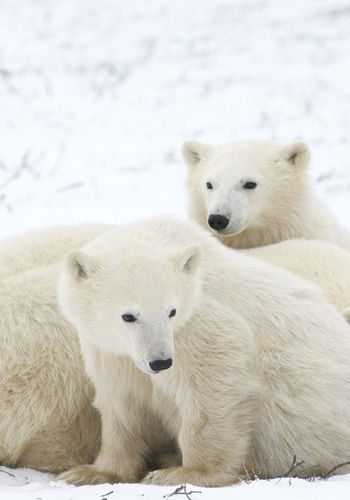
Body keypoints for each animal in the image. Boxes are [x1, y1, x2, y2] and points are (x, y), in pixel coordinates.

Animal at [57, 217, 350, 486]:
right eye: (128, 316)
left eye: (171, 311)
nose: (161, 362)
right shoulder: (111, 353)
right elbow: (122, 403)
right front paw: (90, 473)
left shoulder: (200, 324)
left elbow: (213, 385)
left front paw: (182, 472)